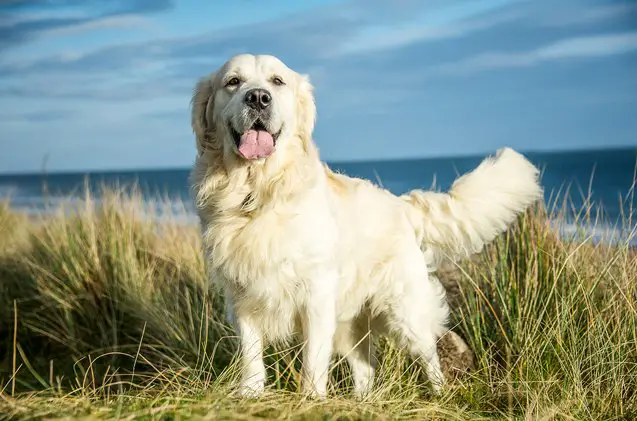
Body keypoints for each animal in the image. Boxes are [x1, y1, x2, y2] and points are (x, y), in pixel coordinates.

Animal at [188, 54, 540, 398]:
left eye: (277, 81)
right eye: (233, 82)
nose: (258, 98)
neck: (257, 192)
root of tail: (401, 204)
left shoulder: (316, 295)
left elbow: (313, 360)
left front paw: (311, 399)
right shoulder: (241, 297)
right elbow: (251, 357)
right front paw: (250, 394)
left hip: (404, 311)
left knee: (428, 355)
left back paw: (440, 395)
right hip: (351, 324)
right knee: (366, 368)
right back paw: (363, 401)